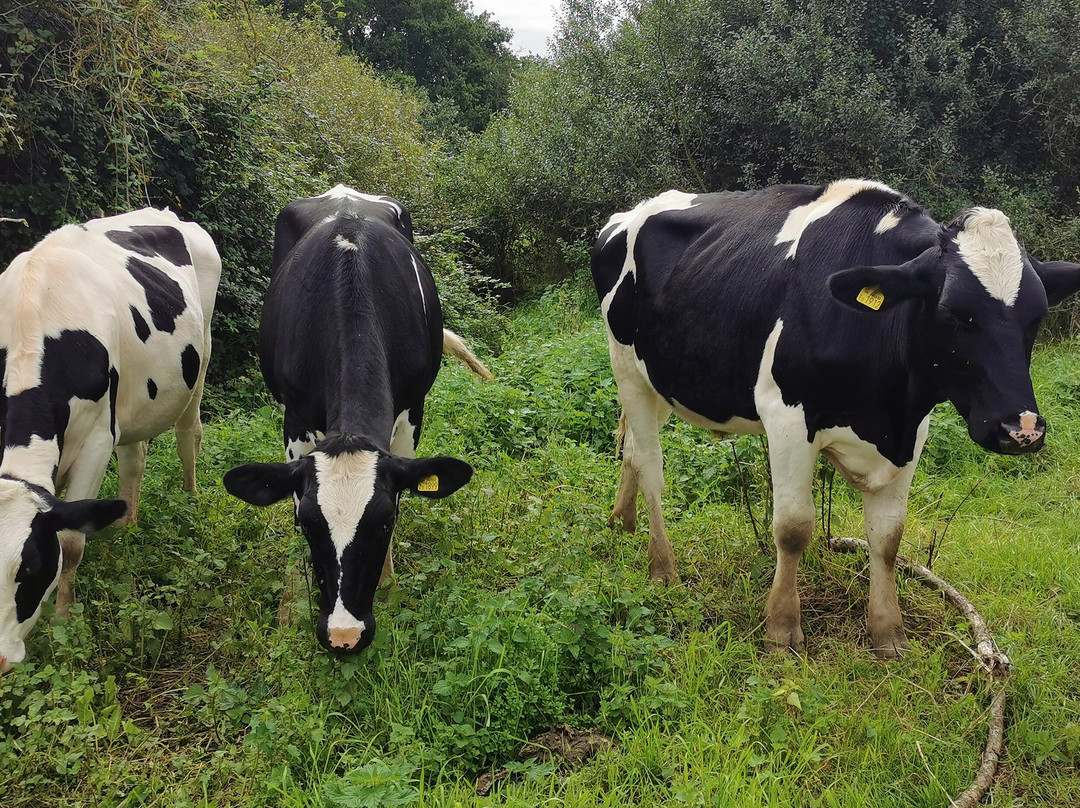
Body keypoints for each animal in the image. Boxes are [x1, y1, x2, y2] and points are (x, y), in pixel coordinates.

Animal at [0, 206, 221, 669]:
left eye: (28, 569)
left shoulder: (97, 440)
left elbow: (71, 542)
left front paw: (64, 624)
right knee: (135, 457)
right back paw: (126, 528)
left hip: (201, 357)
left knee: (188, 435)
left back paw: (190, 500)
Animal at [223, 184, 490, 656]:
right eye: (307, 524)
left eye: (384, 522)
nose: (344, 636)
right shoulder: (295, 417)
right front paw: (293, 604)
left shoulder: (412, 409)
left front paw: (388, 585)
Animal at [591, 180, 1080, 661]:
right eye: (953, 313)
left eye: (1036, 317)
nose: (1022, 429)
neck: (887, 409)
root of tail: (632, 211)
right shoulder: (787, 417)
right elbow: (793, 528)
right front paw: (782, 629)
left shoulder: (912, 430)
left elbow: (888, 535)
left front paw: (888, 632)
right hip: (626, 366)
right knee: (651, 464)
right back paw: (662, 567)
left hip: (660, 378)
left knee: (631, 449)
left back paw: (622, 523)